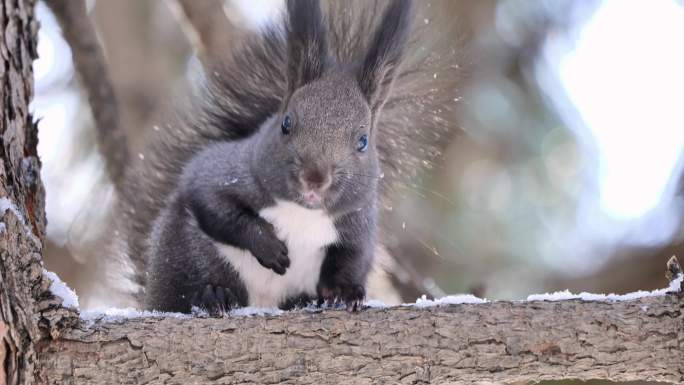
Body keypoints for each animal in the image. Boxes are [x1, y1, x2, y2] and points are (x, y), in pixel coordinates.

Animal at [115, 0, 462, 312]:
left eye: (363, 141)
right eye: (286, 123)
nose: (315, 178)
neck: (302, 213)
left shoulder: (358, 221)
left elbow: (353, 257)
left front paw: (345, 291)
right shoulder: (220, 171)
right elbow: (215, 204)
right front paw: (268, 246)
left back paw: (302, 301)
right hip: (183, 254)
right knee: (185, 291)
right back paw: (212, 295)